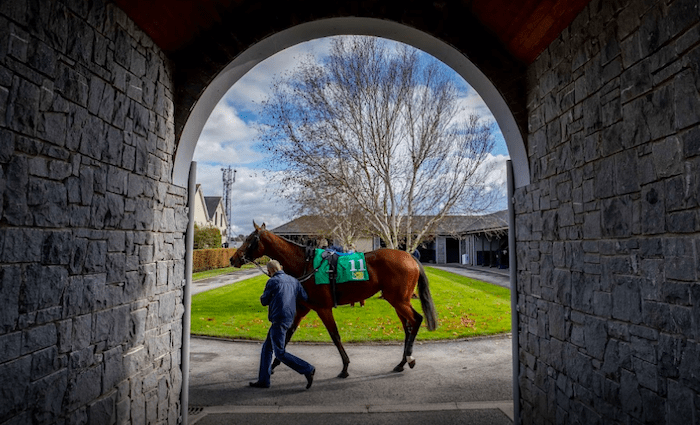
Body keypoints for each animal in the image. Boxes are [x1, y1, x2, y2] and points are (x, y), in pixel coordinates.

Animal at [230, 220, 438, 376]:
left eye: (249, 239)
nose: (233, 258)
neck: (306, 264)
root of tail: (410, 257)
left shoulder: (323, 308)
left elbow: (335, 335)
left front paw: (345, 367)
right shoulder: (303, 308)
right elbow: (288, 334)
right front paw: (273, 366)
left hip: (399, 300)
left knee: (416, 320)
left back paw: (409, 358)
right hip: (397, 300)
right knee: (407, 327)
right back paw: (401, 363)